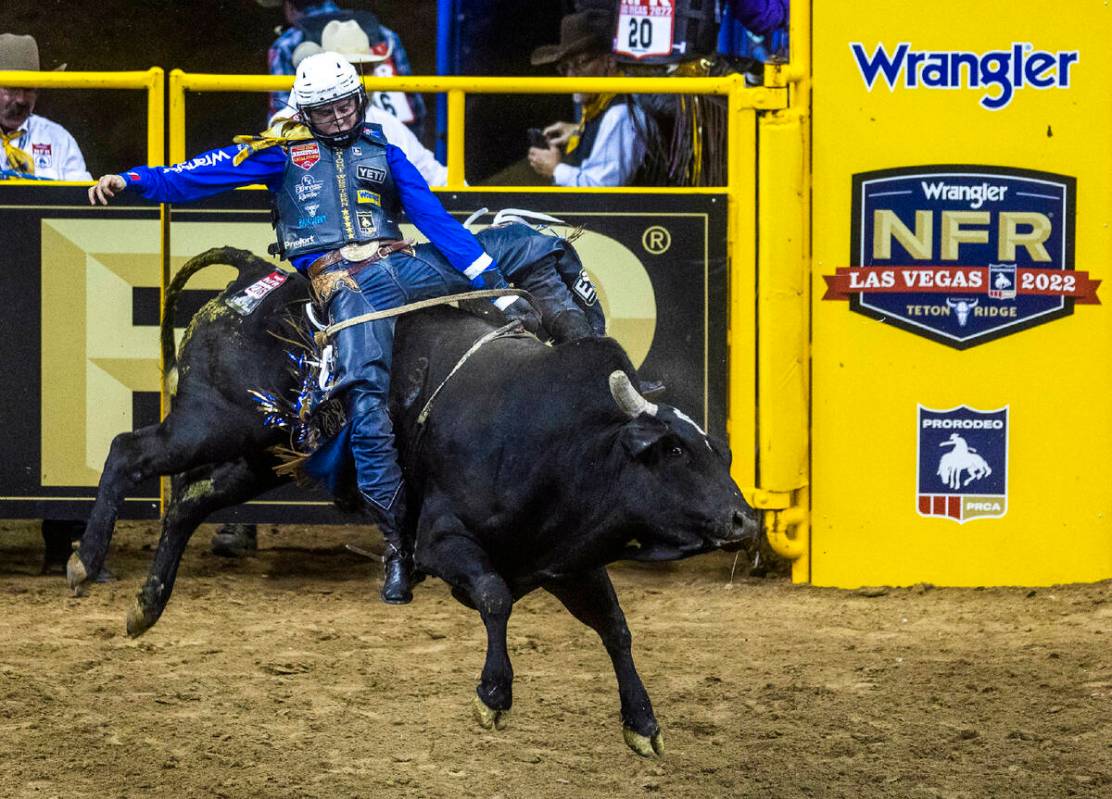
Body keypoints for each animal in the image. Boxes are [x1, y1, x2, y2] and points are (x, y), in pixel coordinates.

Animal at [69, 246, 760, 760]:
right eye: (673, 450)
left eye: (718, 453)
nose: (743, 520)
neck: (556, 434)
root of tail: (250, 277)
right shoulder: (443, 542)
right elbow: (495, 597)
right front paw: (493, 697)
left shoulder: (568, 558)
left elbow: (615, 627)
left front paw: (642, 725)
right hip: (210, 423)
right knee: (128, 451)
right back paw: (86, 560)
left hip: (259, 455)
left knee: (188, 502)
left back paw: (145, 606)